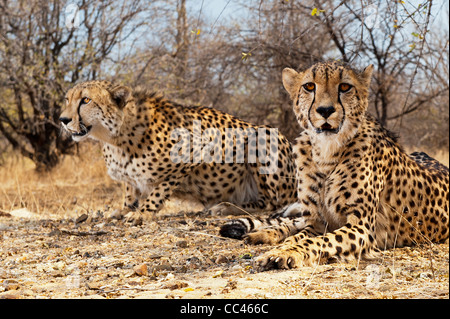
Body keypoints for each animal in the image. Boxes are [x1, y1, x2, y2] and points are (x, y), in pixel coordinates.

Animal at [60, 80, 298, 225]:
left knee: (272, 202)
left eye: (86, 100)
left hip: (263, 134)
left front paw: (143, 212)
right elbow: (130, 188)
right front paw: (125, 208)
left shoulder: (198, 149)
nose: (63, 119)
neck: (116, 138)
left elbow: (159, 190)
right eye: (67, 99)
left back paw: (224, 206)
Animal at [220, 60, 448, 270]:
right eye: (309, 86)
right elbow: (299, 235)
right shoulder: (317, 221)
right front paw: (281, 247)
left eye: (345, 87)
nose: (325, 110)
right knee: (291, 222)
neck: (326, 152)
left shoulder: (362, 228)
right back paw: (261, 233)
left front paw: (286, 253)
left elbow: (319, 241)